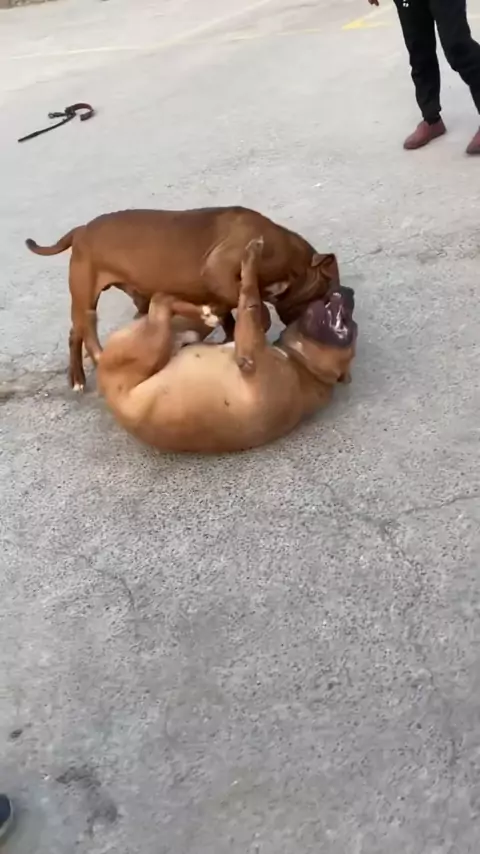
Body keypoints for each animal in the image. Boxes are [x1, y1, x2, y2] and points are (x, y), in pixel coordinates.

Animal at [26, 206, 339, 390]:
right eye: (326, 294)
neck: (290, 259)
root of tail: (80, 231)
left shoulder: (217, 290)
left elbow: (229, 315)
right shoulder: (217, 271)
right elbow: (259, 310)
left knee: (77, 331)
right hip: (85, 295)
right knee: (78, 331)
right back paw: (78, 378)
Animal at [87, 238, 357, 454]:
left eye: (350, 326)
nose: (349, 292)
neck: (303, 366)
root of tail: (107, 391)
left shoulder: (250, 355)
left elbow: (250, 297)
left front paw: (251, 260)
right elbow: (250, 299)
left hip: (149, 346)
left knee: (161, 302)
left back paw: (204, 310)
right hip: (174, 333)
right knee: (171, 305)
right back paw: (207, 309)